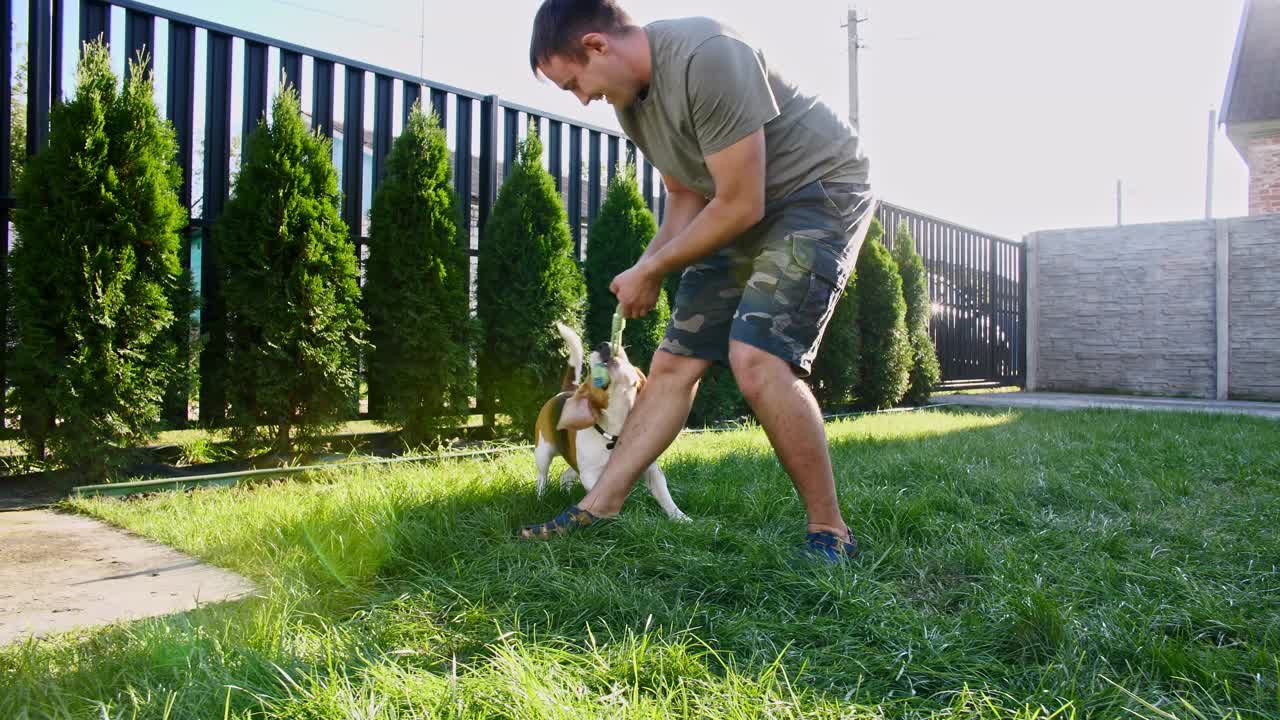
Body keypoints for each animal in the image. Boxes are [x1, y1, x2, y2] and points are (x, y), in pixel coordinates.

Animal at [529, 322, 691, 517]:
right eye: (591, 371)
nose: (602, 345)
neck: (615, 431)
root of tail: (566, 392)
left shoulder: (651, 469)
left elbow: (664, 495)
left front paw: (680, 518)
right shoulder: (591, 476)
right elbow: (603, 496)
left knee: (565, 476)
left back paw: (565, 493)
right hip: (543, 452)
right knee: (542, 477)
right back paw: (541, 499)